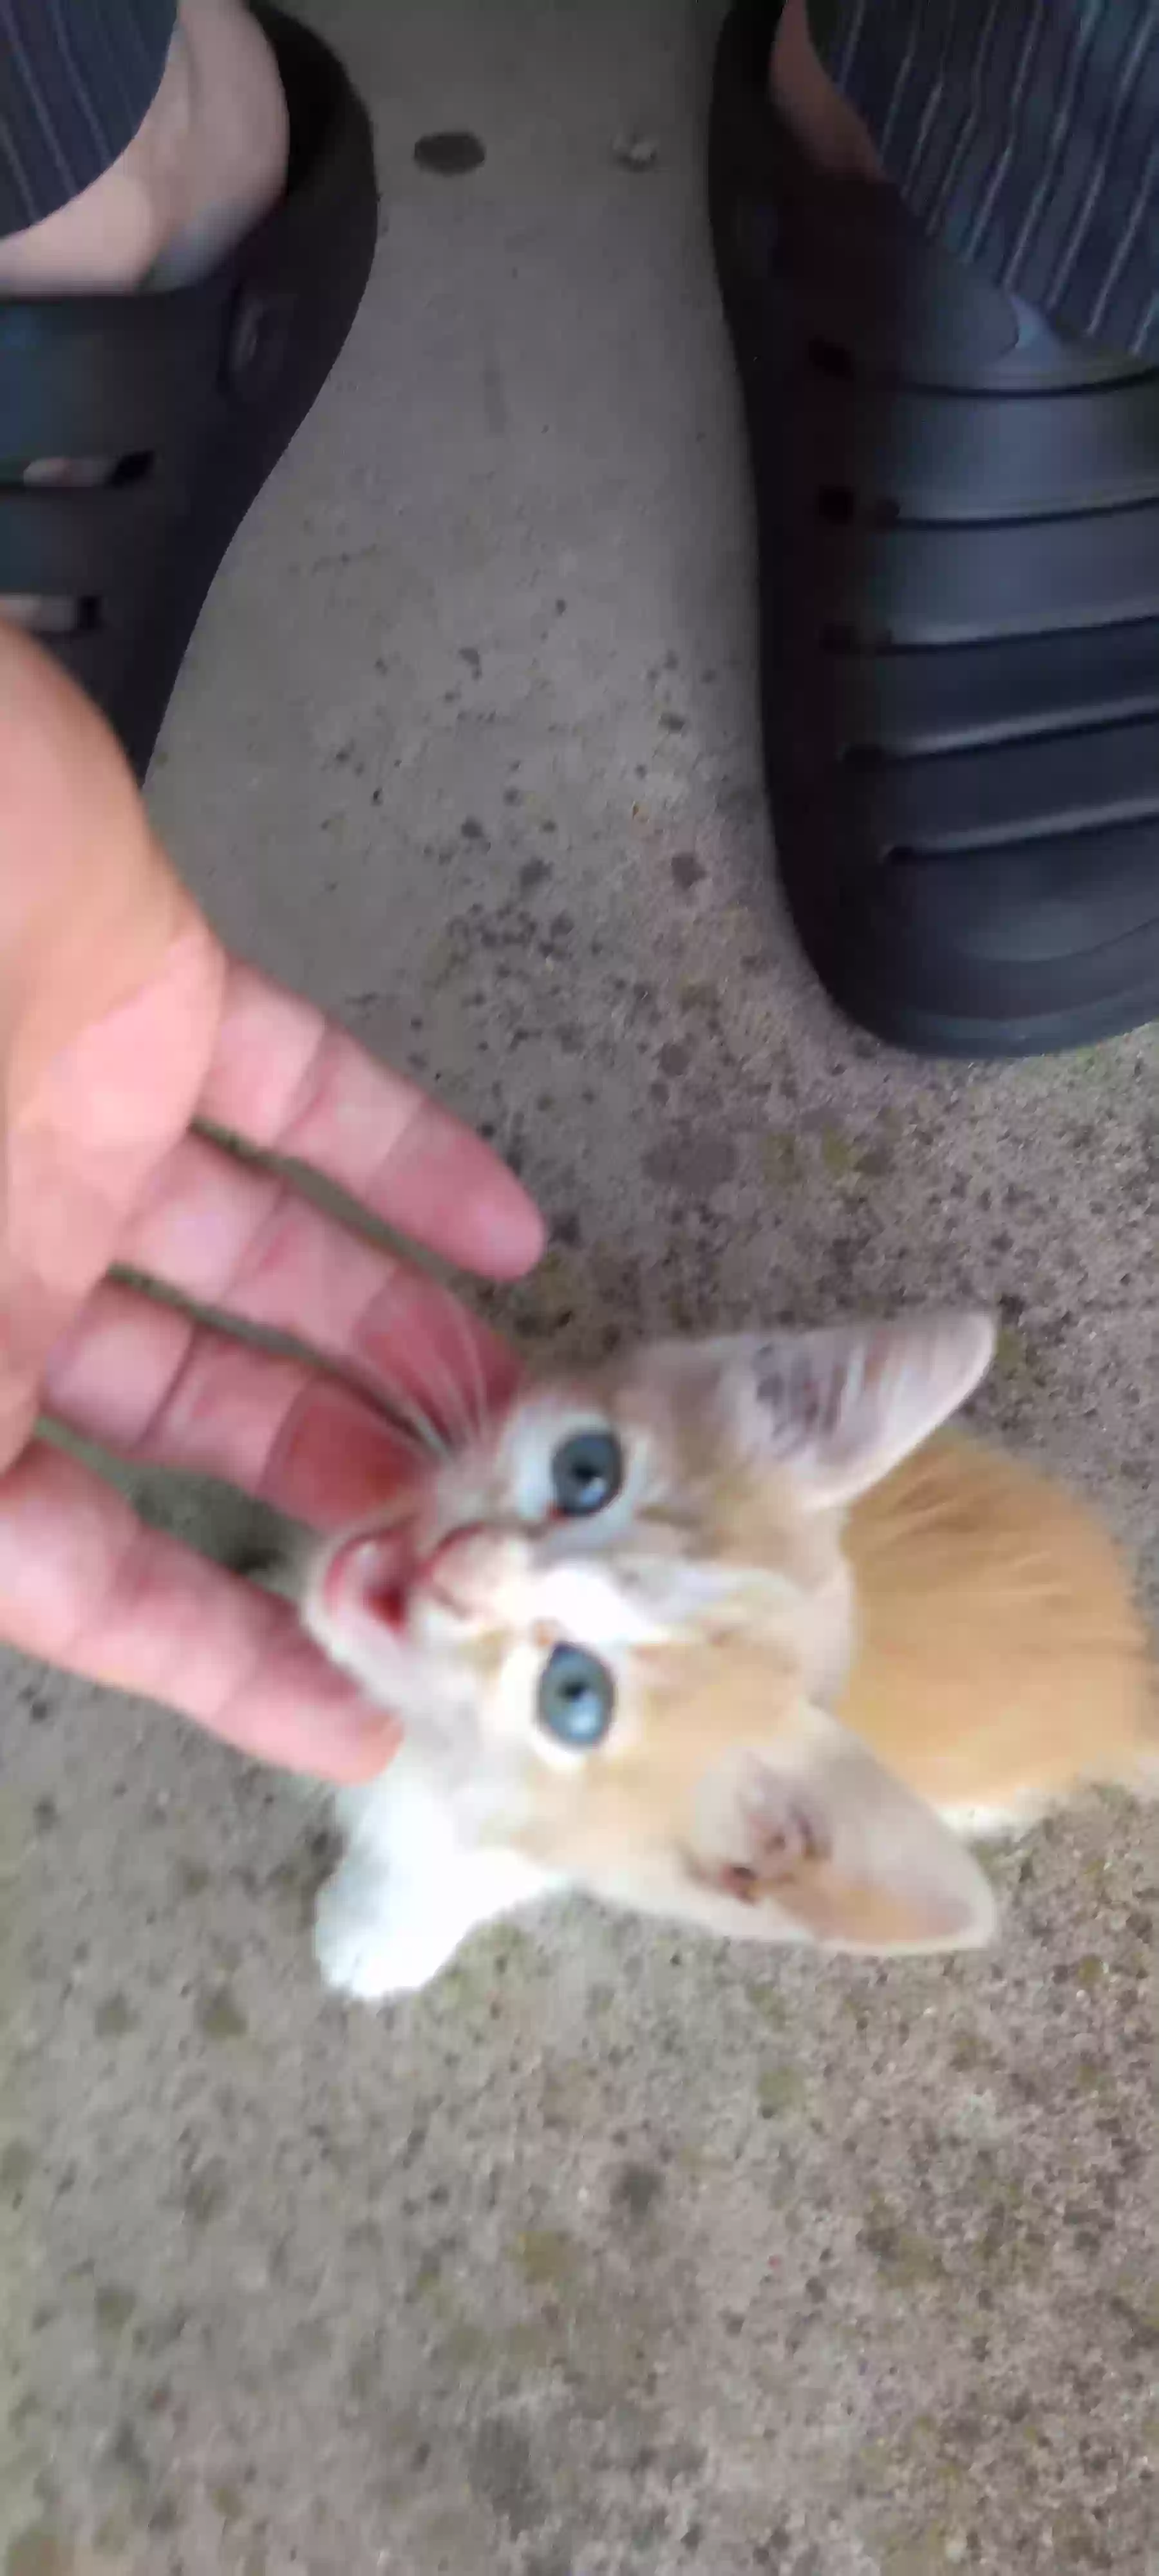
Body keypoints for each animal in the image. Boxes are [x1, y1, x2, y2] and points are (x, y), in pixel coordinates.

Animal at [304, 1319, 1154, 1999]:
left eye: (575, 1698)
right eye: (587, 1470)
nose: (462, 1562)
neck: (427, 1747)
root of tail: (1127, 1662)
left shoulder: (562, 1852)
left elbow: (442, 1878)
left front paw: (374, 1935)